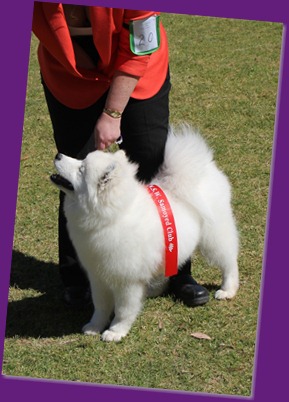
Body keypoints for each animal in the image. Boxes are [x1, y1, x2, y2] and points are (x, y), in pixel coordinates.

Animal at [50, 125, 237, 342]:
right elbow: (100, 307)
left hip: (214, 236)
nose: (58, 155)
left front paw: (115, 332)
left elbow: (123, 310)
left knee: (229, 261)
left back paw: (228, 290)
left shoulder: (126, 282)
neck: (111, 217)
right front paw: (94, 327)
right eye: (81, 161)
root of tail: (207, 169)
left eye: (81, 169)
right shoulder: (98, 276)